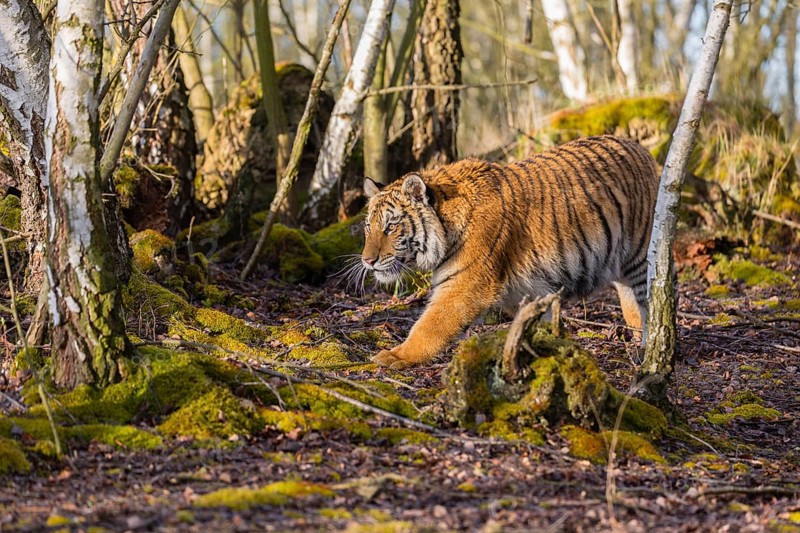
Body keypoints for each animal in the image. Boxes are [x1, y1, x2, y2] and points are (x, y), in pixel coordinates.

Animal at [361, 135, 659, 369]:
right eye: (368, 227)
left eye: (390, 227)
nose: (367, 260)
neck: (446, 223)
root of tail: (640, 148)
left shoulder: (465, 285)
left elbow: (430, 325)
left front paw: (397, 356)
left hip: (642, 256)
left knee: (651, 301)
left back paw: (648, 348)